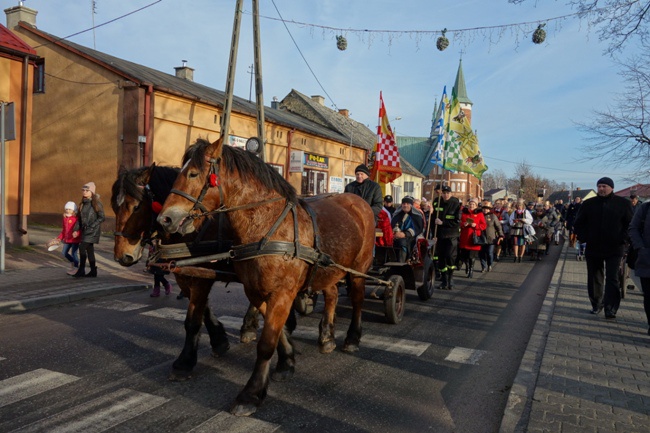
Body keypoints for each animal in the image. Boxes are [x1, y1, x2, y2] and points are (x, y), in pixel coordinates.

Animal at [155, 138, 374, 416]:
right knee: (333, 294)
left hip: (358, 269)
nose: (164, 219)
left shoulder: (282, 293)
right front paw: (287, 361)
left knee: (357, 300)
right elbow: (277, 331)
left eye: (193, 173)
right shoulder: (256, 290)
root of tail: (357, 201)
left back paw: (352, 338)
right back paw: (326, 336)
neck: (267, 225)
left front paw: (251, 393)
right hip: (329, 270)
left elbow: (266, 342)